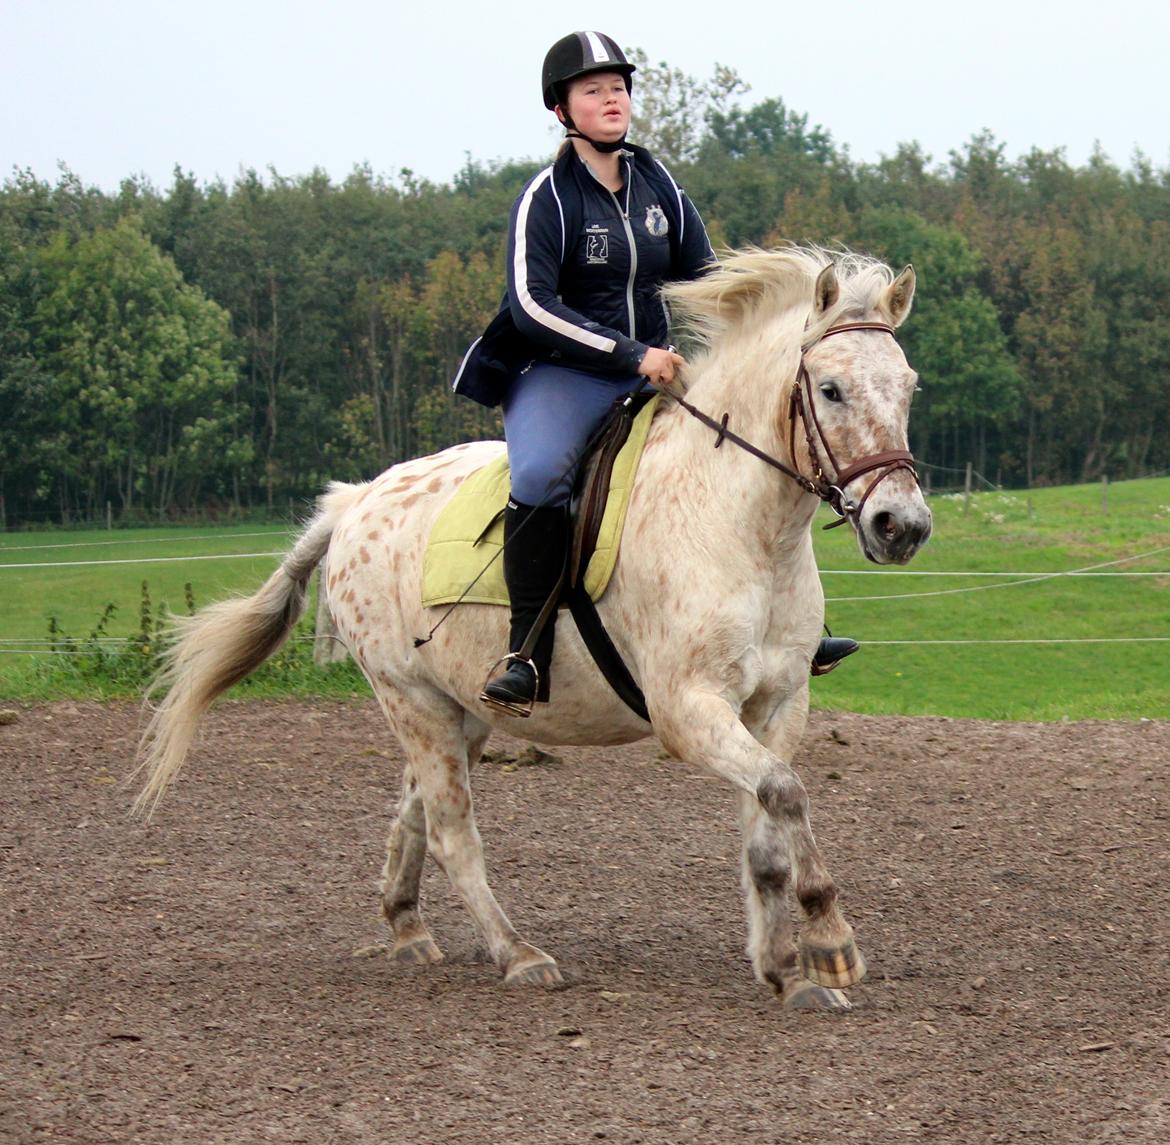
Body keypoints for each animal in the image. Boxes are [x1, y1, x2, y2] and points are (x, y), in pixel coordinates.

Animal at [132, 247, 931, 1010]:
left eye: (909, 386)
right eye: (829, 389)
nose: (903, 526)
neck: (742, 529)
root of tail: (357, 498)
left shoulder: (777, 703)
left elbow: (767, 834)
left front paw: (787, 972)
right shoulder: (690, 710)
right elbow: (787, 794)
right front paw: (830, 941)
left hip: (461, 708)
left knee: (416, 811)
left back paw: (406, 926)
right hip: (410, 700)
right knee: (453, 832)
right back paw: (517, 953)